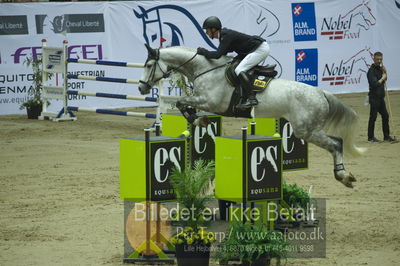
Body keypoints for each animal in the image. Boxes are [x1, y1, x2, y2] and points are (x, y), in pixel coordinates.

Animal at [138, 45, 366, 187]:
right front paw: (198, 119)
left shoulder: (210, 102)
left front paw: (198, 119)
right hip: (309, 129)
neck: (206, 69)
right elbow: (183, 104)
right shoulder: (204, 101)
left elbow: (181, 102)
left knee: (336, 143)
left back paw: (344, 176)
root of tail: (322, 93)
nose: (141, 88)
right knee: (337, 142)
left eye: (148, 65)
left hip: (307, 130)